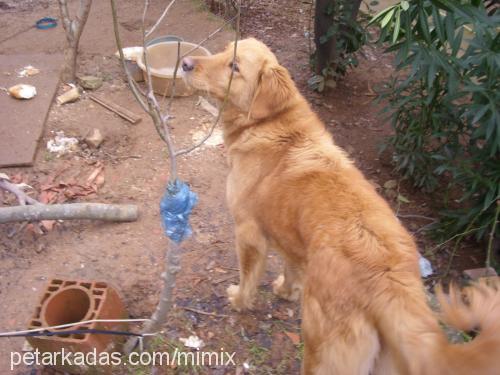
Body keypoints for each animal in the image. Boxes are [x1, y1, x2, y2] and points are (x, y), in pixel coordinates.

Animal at [183, 39, 500, 375]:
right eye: (222, 50)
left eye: (234, 66)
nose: (185, 63)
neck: (270, 123)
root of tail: (390, 279)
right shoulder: (290, 238)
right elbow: (291, 270)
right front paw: (286, 291)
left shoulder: (248, 233)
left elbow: (248, 280)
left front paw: (239, 300)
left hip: (321, 350)